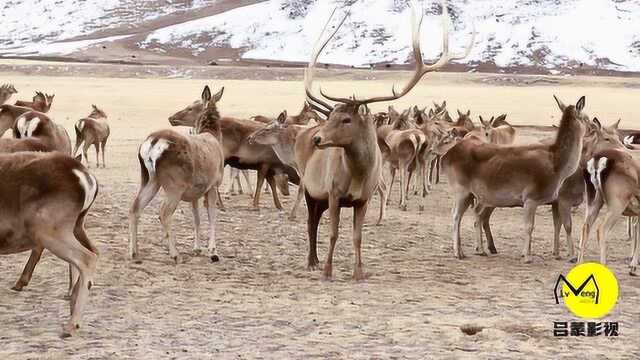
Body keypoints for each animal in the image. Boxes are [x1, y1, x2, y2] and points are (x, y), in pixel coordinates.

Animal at [0, 150, 98, 336]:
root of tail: (84, 176)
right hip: (77, 225)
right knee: (94, 251)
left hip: (49, 229)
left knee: (86, 258)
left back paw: (72, 325)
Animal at [127, 86, 225, 262]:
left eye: (191, 107)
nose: (172, 117)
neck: (214, 136)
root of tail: (153, 142)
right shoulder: (214, 184)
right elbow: (212, 216)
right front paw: (213, 251)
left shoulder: (195, 191)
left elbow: (196, 218)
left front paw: (197, 248)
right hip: (175, 184)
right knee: (164, 213)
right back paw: (175, 254)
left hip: (150, 178)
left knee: (134, 208)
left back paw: (134, 252)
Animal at [298, 0, 470, 280]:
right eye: (332, 115)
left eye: (346, 119)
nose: (317, 138)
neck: (357, 175)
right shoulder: (333, 194)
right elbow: (333, 233)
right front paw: (327, 270)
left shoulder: (362, 199)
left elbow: (357, 237)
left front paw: (359, 272)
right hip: (310, 189)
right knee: (311, 222)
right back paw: (312, 260)